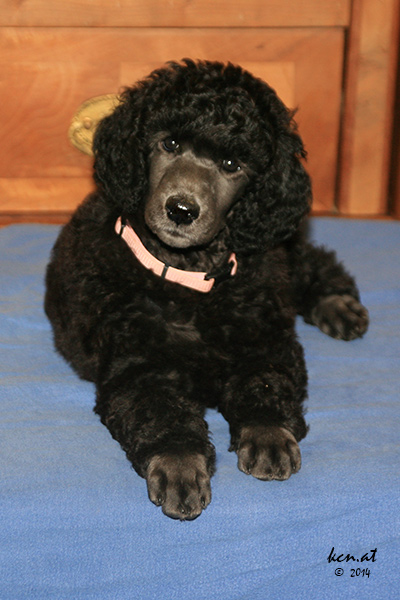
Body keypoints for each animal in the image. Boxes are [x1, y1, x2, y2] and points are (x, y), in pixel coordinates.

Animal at [45, 60, 369, 520]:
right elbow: (162, 412)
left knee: (309, 261)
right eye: (169, 143)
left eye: (232, 163)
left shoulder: (265, 336)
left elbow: (265, 382)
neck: (189, 278)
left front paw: (268, 435)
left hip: (277, 255)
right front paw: (179, 465)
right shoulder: (140, 364)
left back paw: (338, 303)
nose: (181, 210)